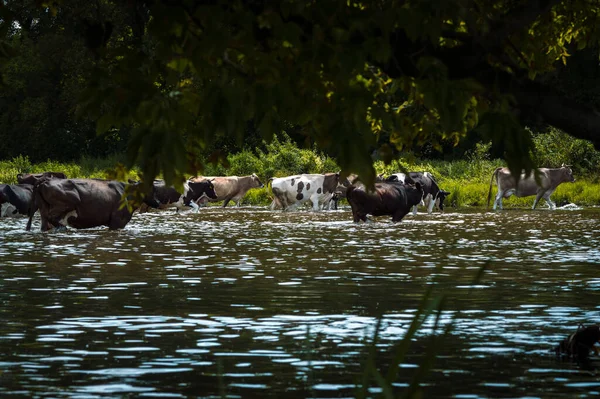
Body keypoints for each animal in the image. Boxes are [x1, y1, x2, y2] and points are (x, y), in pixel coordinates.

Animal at [24, 178, 163, 231]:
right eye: (153, 189)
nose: (158, 202)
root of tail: (44, 180)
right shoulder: (117, 221)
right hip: (69, 202)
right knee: (52, 218)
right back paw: (64, 228)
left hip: (43, 207)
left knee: (45, 223)